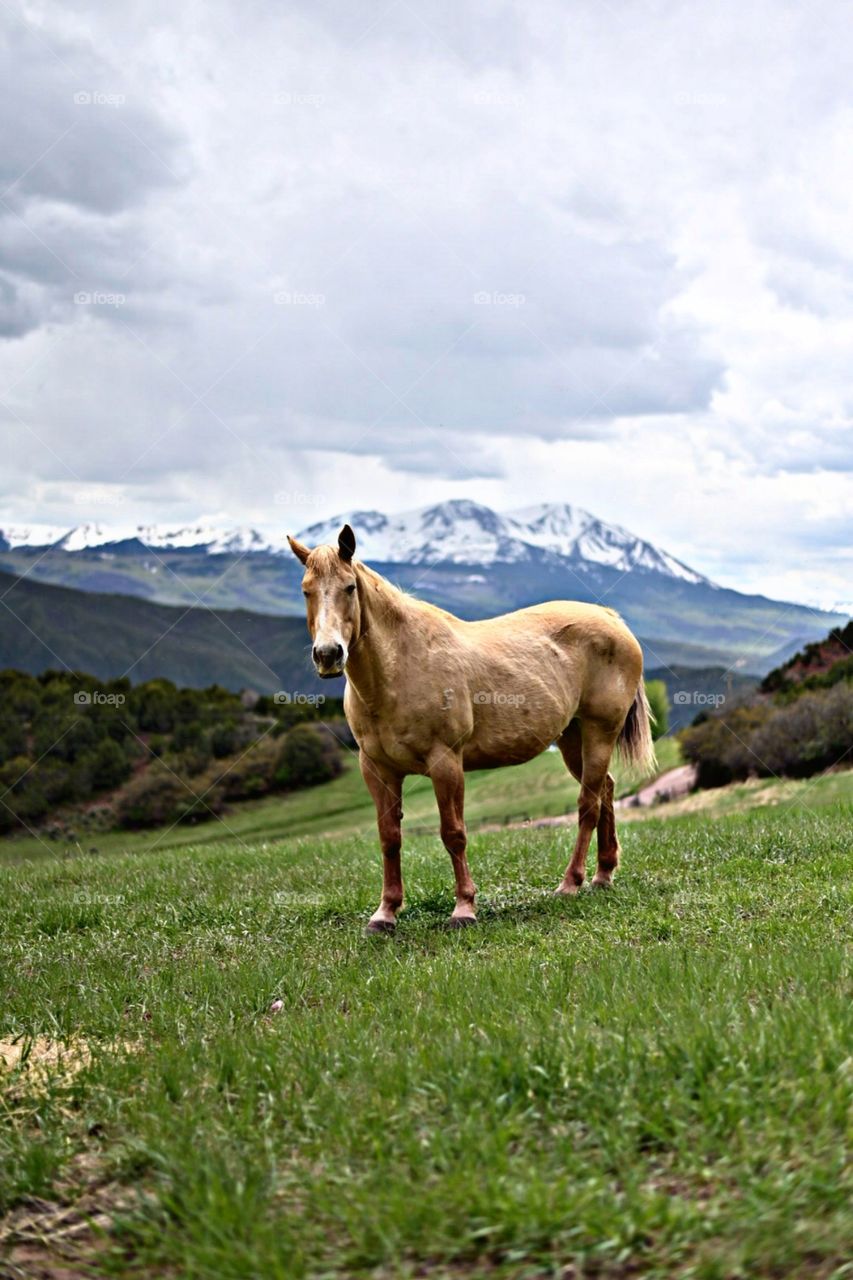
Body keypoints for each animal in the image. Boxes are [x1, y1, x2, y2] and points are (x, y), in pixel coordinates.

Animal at [287, 523, 655, 932]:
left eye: (349, 587)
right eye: (306, 590)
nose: (328, 655)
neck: (400, 667)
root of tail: (612, 619)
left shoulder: (445, 762)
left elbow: (454, 834)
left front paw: (464, 908)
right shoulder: (378, 769)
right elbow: (389, 838)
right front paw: (385, 914)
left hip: (599, 732)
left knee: (588, 805)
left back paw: (570, 883)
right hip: (574, 739)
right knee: (605, 790)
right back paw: (603, 875)